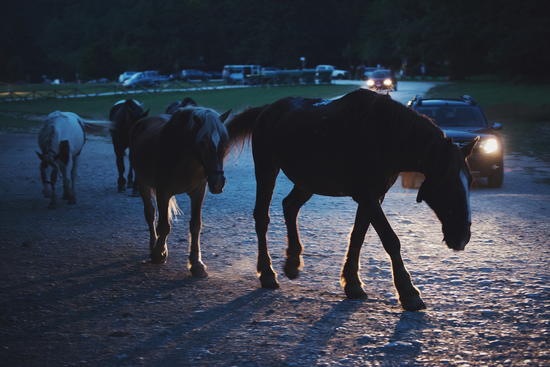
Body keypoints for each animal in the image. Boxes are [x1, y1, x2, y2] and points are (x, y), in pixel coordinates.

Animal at [129, 108, 231, 278]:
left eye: (224, 141)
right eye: (202, 143)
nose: (217, 183)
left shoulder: (198, 193)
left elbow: (196, 225)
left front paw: (196, 264)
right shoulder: (163, 192)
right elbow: (164, 226)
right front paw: (158, 254)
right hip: (143, 183)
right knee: (150, 214)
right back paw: (153, 245)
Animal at [226, 89, 480, 310]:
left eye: (470, 181)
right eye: (447, 183)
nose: (462, 237)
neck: (386, 135)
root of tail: (267, 109)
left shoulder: (374, 196)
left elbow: (358, 236)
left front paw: (352, 283)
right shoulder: (367, 195)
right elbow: (390, 240)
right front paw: (408, 292)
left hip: (308, 181)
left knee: (289, 206)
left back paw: (292, 261)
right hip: (266, 169)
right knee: (262, 217)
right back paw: (267, 273)